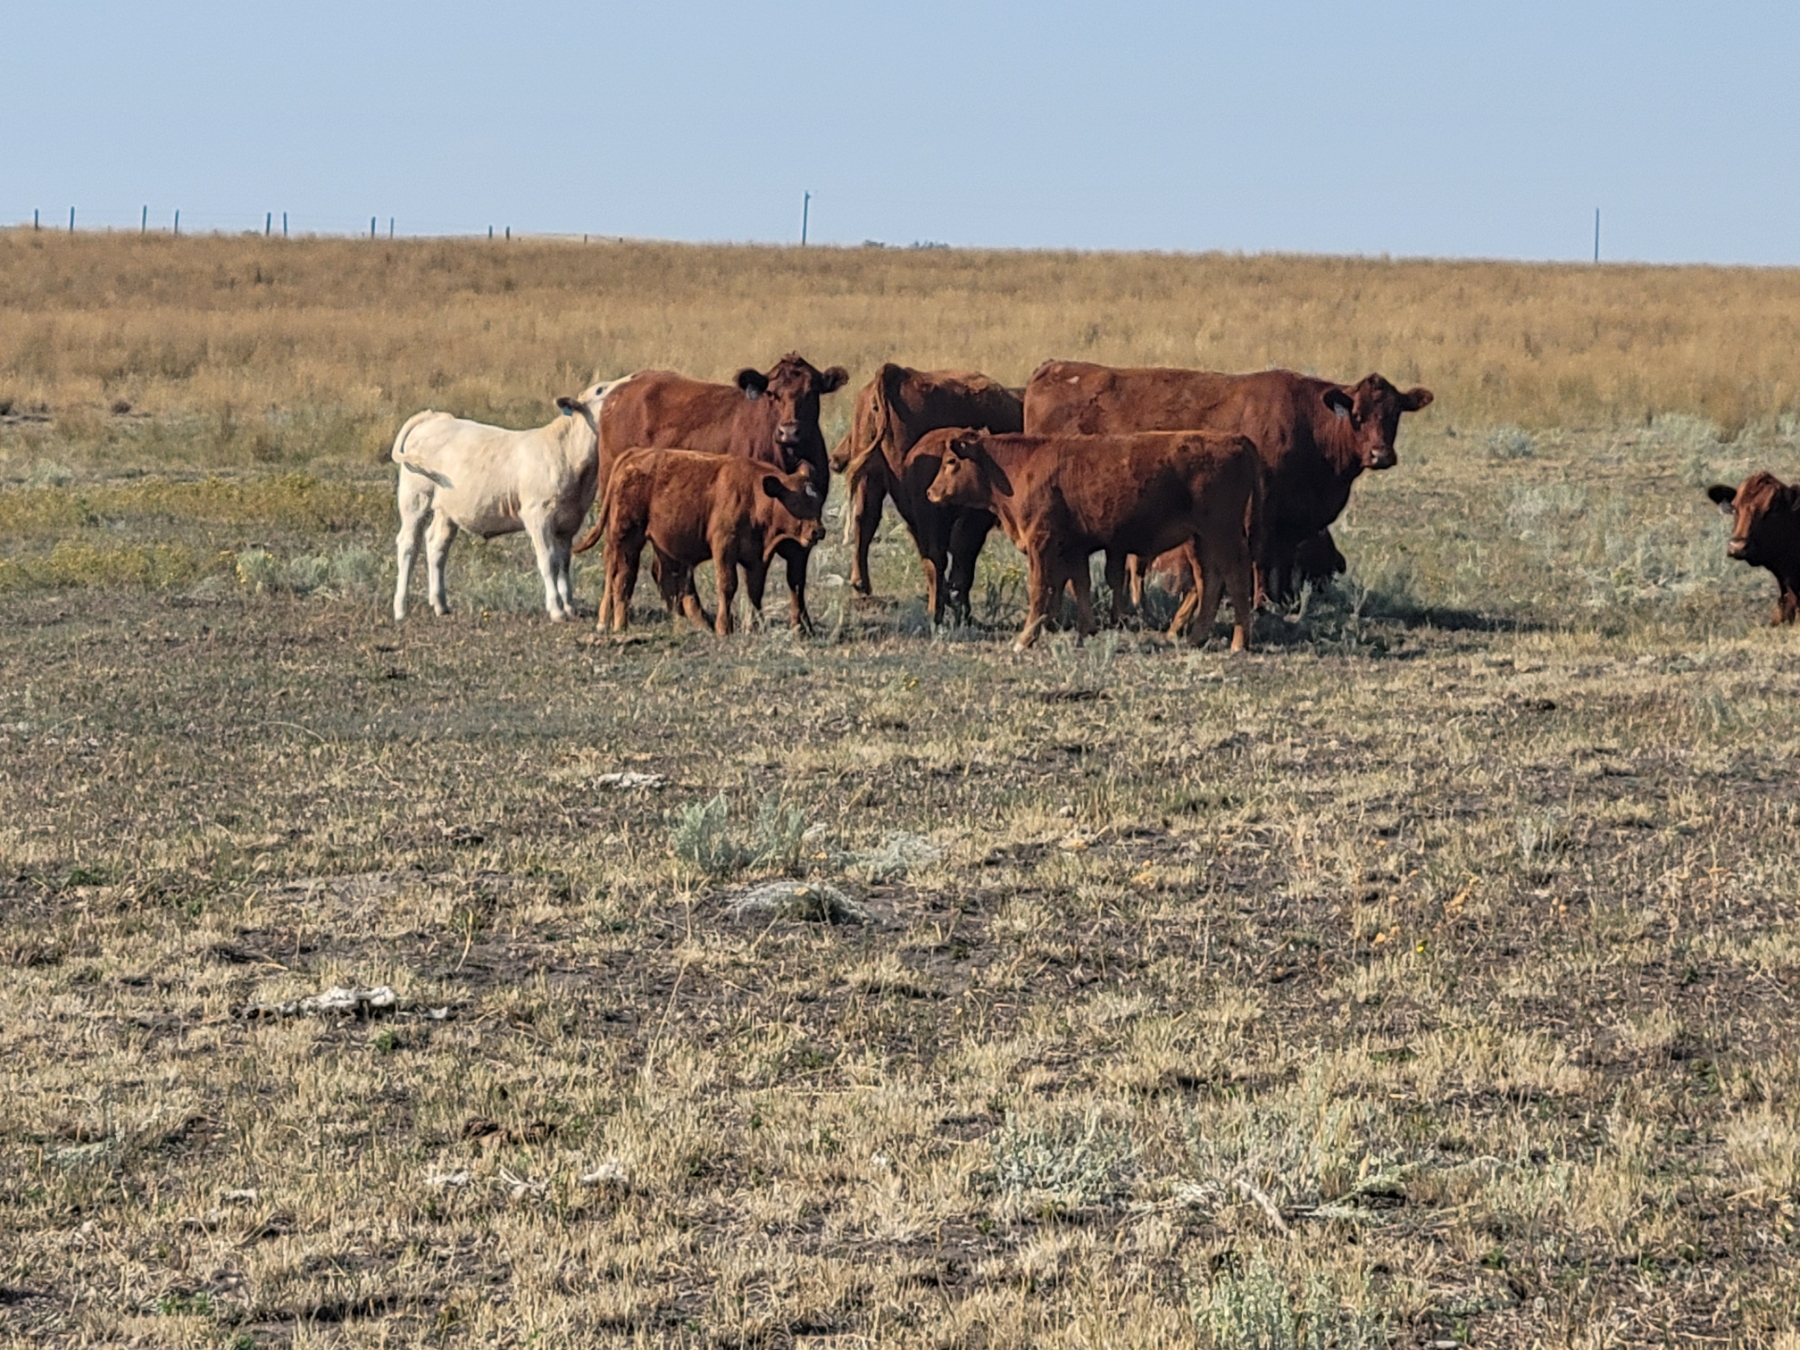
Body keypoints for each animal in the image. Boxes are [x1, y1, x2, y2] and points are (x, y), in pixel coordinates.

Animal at [391, 379, 618, 622]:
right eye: (600, 389)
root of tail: (434, 417)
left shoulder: (570, 520)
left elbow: (564, 563)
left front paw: (569, 607)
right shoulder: (537, 515)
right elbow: (549, 561)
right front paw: (556, 610)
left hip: (446, 509)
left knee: (436, 544)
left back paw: (440, 605)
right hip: (415, 496)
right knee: (408, 544)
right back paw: (401, 608)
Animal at [600, 449, 825, 636]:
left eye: (818, 501)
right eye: (796, 501)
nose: (818, 531)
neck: (753, 497)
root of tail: (635, 454)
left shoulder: (757, 556)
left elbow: (755, 590)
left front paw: (755, 626)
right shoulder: (724, 547)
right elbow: (727, 585)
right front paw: (723, 627)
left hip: (661, 546)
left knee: (662, 578)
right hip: (627, 539)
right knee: (623, 577)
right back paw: (620, 624)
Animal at [829, 364, 1023, 619]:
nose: (835, 458)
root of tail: (900, 374)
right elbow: (962, 556)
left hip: (874, 482)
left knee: (867, 521)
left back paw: (864, 585)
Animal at [921, 430, 1261, 652]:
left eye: (951, 461)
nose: (930, 492)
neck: (1020, 467)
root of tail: (1235, 439)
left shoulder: (1041, 543)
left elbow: (1039, 589)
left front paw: (1025, 639)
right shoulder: (1073, 547)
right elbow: (1079, 584)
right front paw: (1086, 631)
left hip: (1222, 533)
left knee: (1235, 578)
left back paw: (1239, 642)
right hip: (1200, 539)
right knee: (1209, 582)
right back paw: (1196, 637)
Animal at [1023, 362, 1432, 602]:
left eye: (1394, 414)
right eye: (1357, 415)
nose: (1380, 455)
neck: (1309, 424)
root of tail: (1056, 368)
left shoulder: (1291, 517)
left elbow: (1284, 557)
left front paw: (1284, 600)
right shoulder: (1262, 507)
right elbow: (1261, 554)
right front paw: (1262, 600)